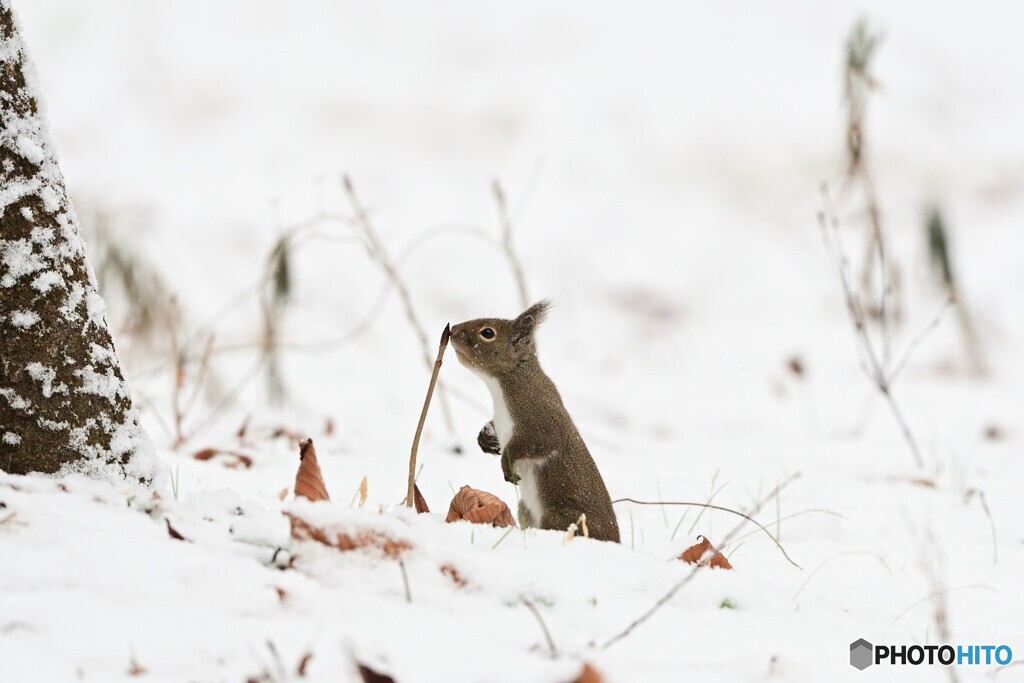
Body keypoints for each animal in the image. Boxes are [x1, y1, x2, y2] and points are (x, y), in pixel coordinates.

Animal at [452, 301, 618, 540]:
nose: (452, 330)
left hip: (560, 518)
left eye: (488, 333)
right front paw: (485, 440)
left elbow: (540, 443)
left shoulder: (539, 419)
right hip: (525, 510)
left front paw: (507, 464)